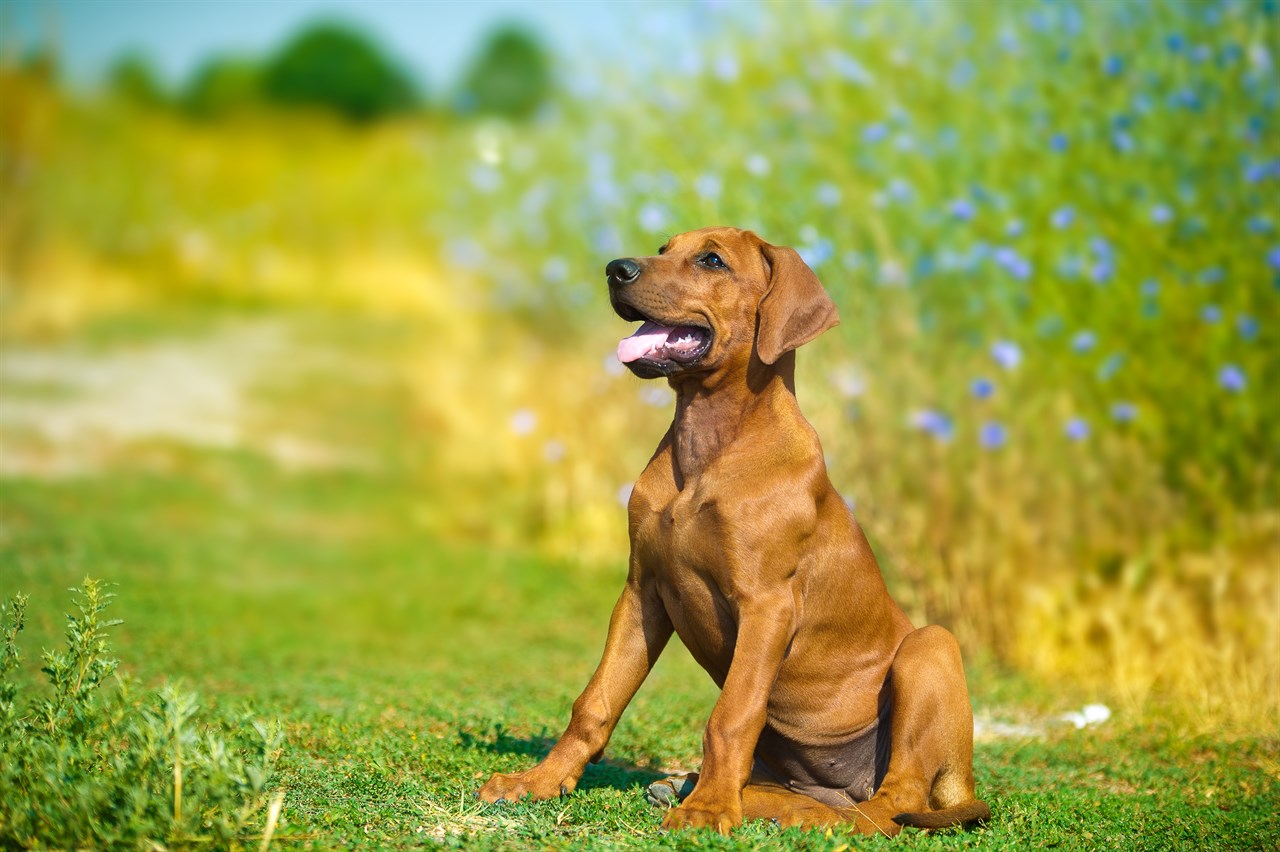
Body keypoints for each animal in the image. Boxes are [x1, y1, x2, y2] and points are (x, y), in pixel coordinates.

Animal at [481, 225, 988, 828]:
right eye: (663, 248)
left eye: (711, 260)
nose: (615, 269)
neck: (708, 443)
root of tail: (961, 782)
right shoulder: (641, 591)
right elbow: (595, 702)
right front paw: (538, 781)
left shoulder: (766, 606)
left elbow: (731, 715)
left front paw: (708, 809)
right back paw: (723, 793)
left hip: (931, 646)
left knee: (892, 804)